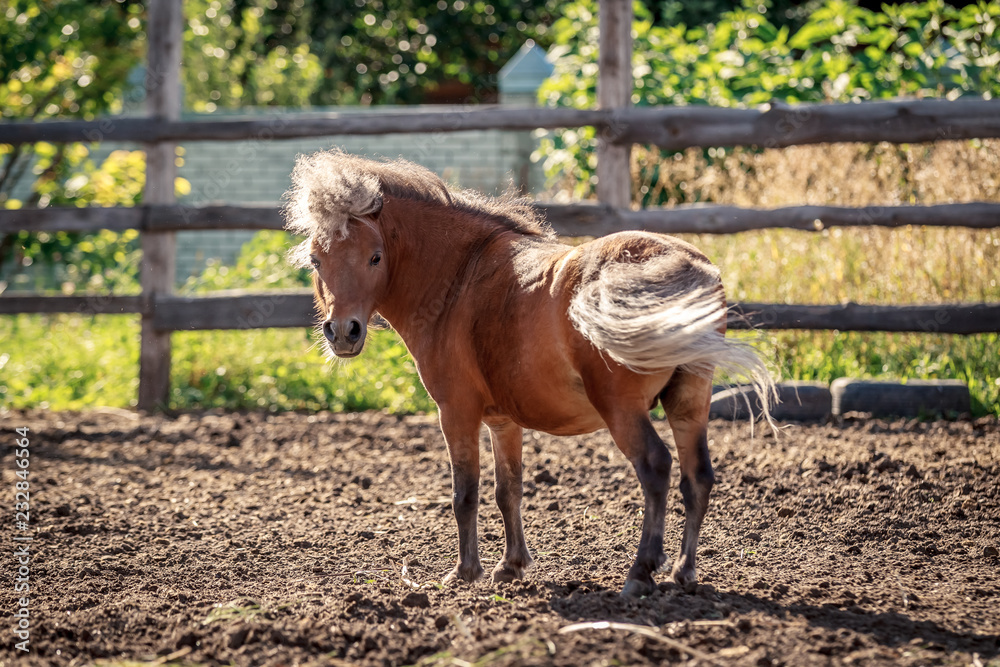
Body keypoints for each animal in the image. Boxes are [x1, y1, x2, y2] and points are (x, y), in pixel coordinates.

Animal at [284, 149, 775, 597]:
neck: (459, 278)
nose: (343, 332)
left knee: (656, 469)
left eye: (374, 257)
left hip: (624, 410)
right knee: (698, 478)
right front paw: (511, 566)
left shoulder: (456, 412)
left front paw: (465, 572)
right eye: (316, 260)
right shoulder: (503, 421)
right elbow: (509, 491)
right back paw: (683, 573)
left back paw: (641, 573)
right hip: (688, 404)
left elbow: (465, 492)